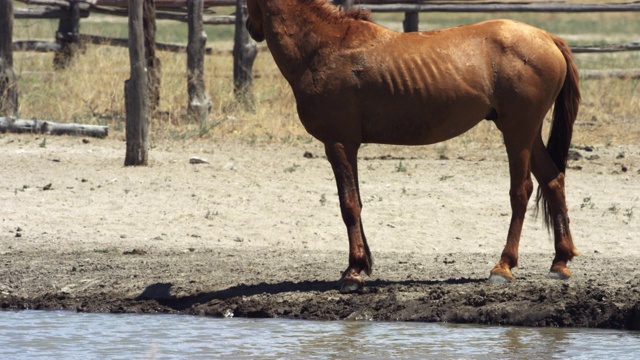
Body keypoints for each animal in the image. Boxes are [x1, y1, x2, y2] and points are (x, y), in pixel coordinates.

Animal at [245, 0, 580, 292]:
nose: (250, 27)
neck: (323, 47)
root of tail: (547, 37)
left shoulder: (339, 143)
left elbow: (348, 205)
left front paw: (353, 272)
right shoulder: (348, 146)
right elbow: (357, 202)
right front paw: (362, 264)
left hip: (517, 131)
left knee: (521, 191)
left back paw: (503, 267)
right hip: (528, 133)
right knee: (553, 180)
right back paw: (560, 262)